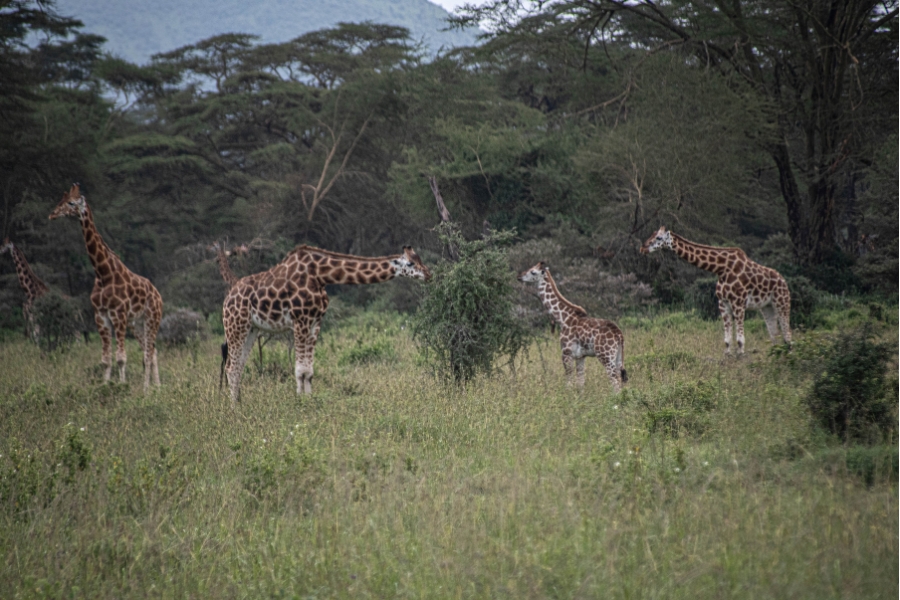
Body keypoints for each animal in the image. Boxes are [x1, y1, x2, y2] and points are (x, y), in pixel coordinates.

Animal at [49, 184, 163, 389]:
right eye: (60, 200)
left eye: (71, 203)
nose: (52, 214)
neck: (103, 273)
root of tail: (158, 295)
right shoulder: (100, 316)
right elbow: (105, 360)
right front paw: (105, 386)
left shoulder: (118, 315)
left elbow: (121, 358)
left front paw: (122, 387)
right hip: (136, 323)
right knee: (151, 351)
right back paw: (155, 387)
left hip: (152, 318)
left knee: (148, 353)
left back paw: (147, 389)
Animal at [223, 245, 431, 403]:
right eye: (411, 263)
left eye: (420, 259)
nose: (429, 274)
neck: (321, 275)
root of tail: (227, 298)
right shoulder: (300, 320)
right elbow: (300, 370)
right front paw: (300, 403)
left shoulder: (315, 322)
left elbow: (309, 371)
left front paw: (308, 400)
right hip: (236, 325)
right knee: (231, 368)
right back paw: (234, 408)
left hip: (251, 329)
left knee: (238, 366)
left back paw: (240, 402)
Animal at [518, 262, 627, 392]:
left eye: (533, 272)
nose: (519, 276)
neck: (563, 318)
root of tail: (619, 335)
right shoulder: (580, 356)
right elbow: (580, 384)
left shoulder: (566, 353)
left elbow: (569, 383)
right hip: (618, 357)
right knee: (620, 381)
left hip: (606, 356)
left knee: (615, 384)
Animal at [640, 226, 791, 355]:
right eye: (652, 234)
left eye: (659, 238)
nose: (642, 248)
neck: (721, 269)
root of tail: (784, 281)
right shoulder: (723, 303)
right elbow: (727, 341)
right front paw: (728, 357)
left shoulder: (738, 302)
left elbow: (740, 341)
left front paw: (740, 358)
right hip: (767, 307)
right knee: (775, 336)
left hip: (782, 302)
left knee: (788, 336)